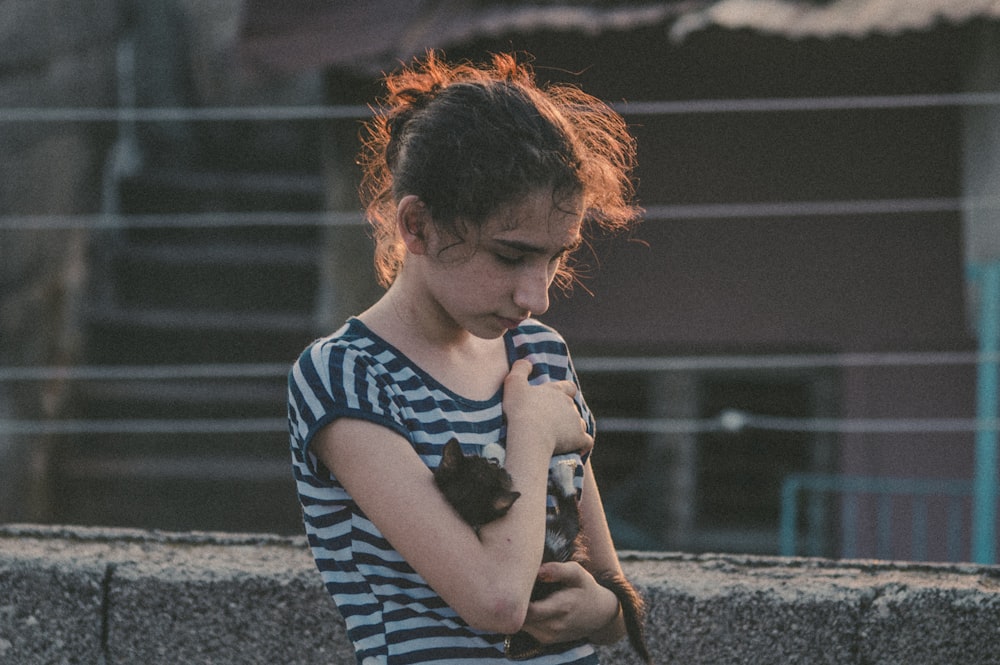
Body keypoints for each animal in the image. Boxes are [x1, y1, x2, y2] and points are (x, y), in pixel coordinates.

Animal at [434, 438, 652, 660]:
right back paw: (563, 475)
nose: (494, 462)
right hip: (558, 533)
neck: (471, 517)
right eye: (491, 467)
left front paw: (495, 451)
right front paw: (496, 451)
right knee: (572, 515)